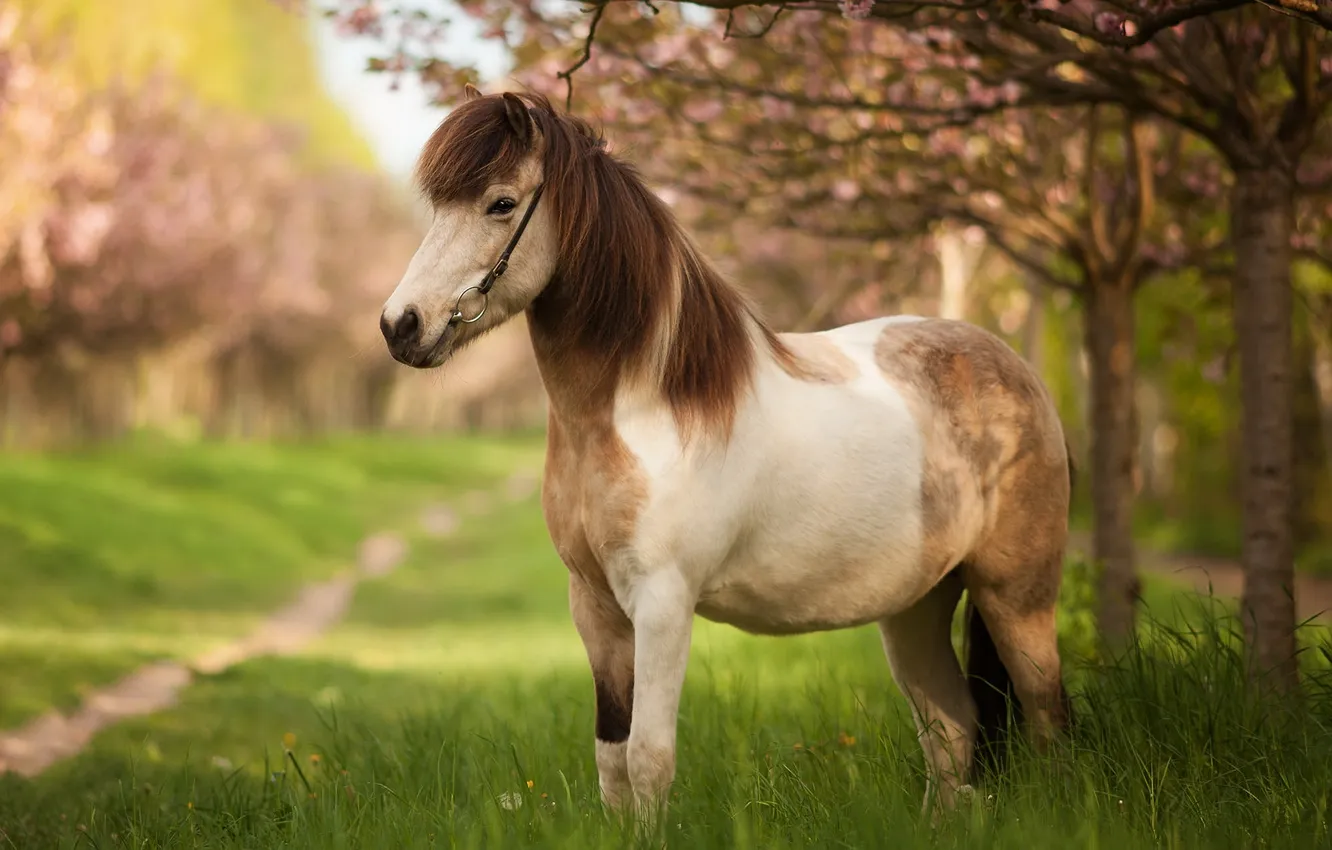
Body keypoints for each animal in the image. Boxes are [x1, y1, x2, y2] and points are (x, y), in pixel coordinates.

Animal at [378, 86, 1074, 819]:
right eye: (440, 207)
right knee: (951, 731)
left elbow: (648, 760)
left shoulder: (662, 604)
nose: (401, 326)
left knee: (1046, 718)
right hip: (919, 604)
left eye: (501, 203)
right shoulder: (595, 607)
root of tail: (1017, 373)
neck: (645, 409)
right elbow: (612, 764)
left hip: (1018, 598)